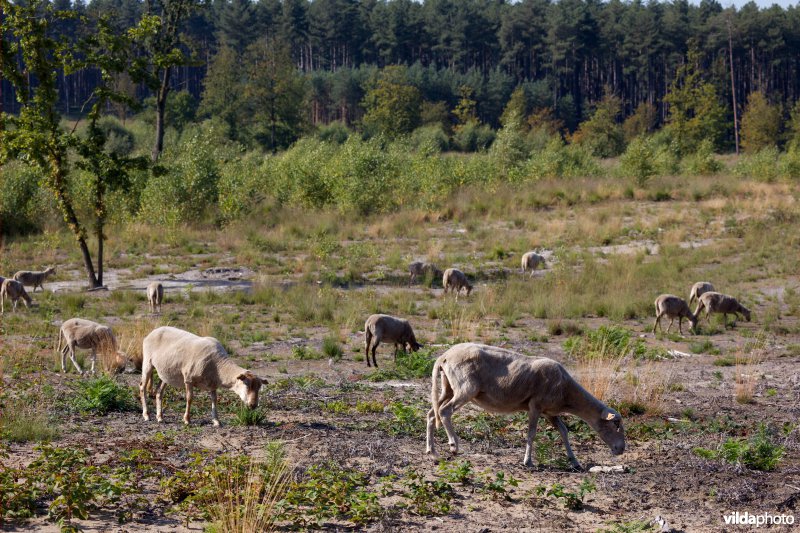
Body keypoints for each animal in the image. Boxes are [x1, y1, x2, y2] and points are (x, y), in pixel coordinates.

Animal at [424, 340, 624, 470]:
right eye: (615, 424)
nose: (621, 449)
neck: (567, 393)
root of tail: (444, 356)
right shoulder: (535, 405)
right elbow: (531, 433)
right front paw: (528, 461)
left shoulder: (550, 412)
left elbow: (563, 431)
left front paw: (574, 461)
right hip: (465, 388)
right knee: (445, 411)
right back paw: (453, 445)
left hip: (448, 387)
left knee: (432, 413)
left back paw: (432, 452)